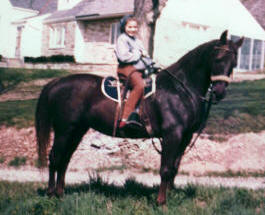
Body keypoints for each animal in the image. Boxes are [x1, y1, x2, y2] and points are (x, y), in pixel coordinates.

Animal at [35, 30, 243, 205]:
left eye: (234, 63)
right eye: (217, 59)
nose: (219, 92)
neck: (180, 90)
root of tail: (57, 82)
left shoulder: (185, 137)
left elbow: (174, 167)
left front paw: (170, 195)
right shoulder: (172, 135)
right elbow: (165, 169)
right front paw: (161, 202)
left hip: (77, 130)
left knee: (64, 159)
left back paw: (60, 193)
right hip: (64, 130)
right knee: (55, 157)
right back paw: (51, 194)